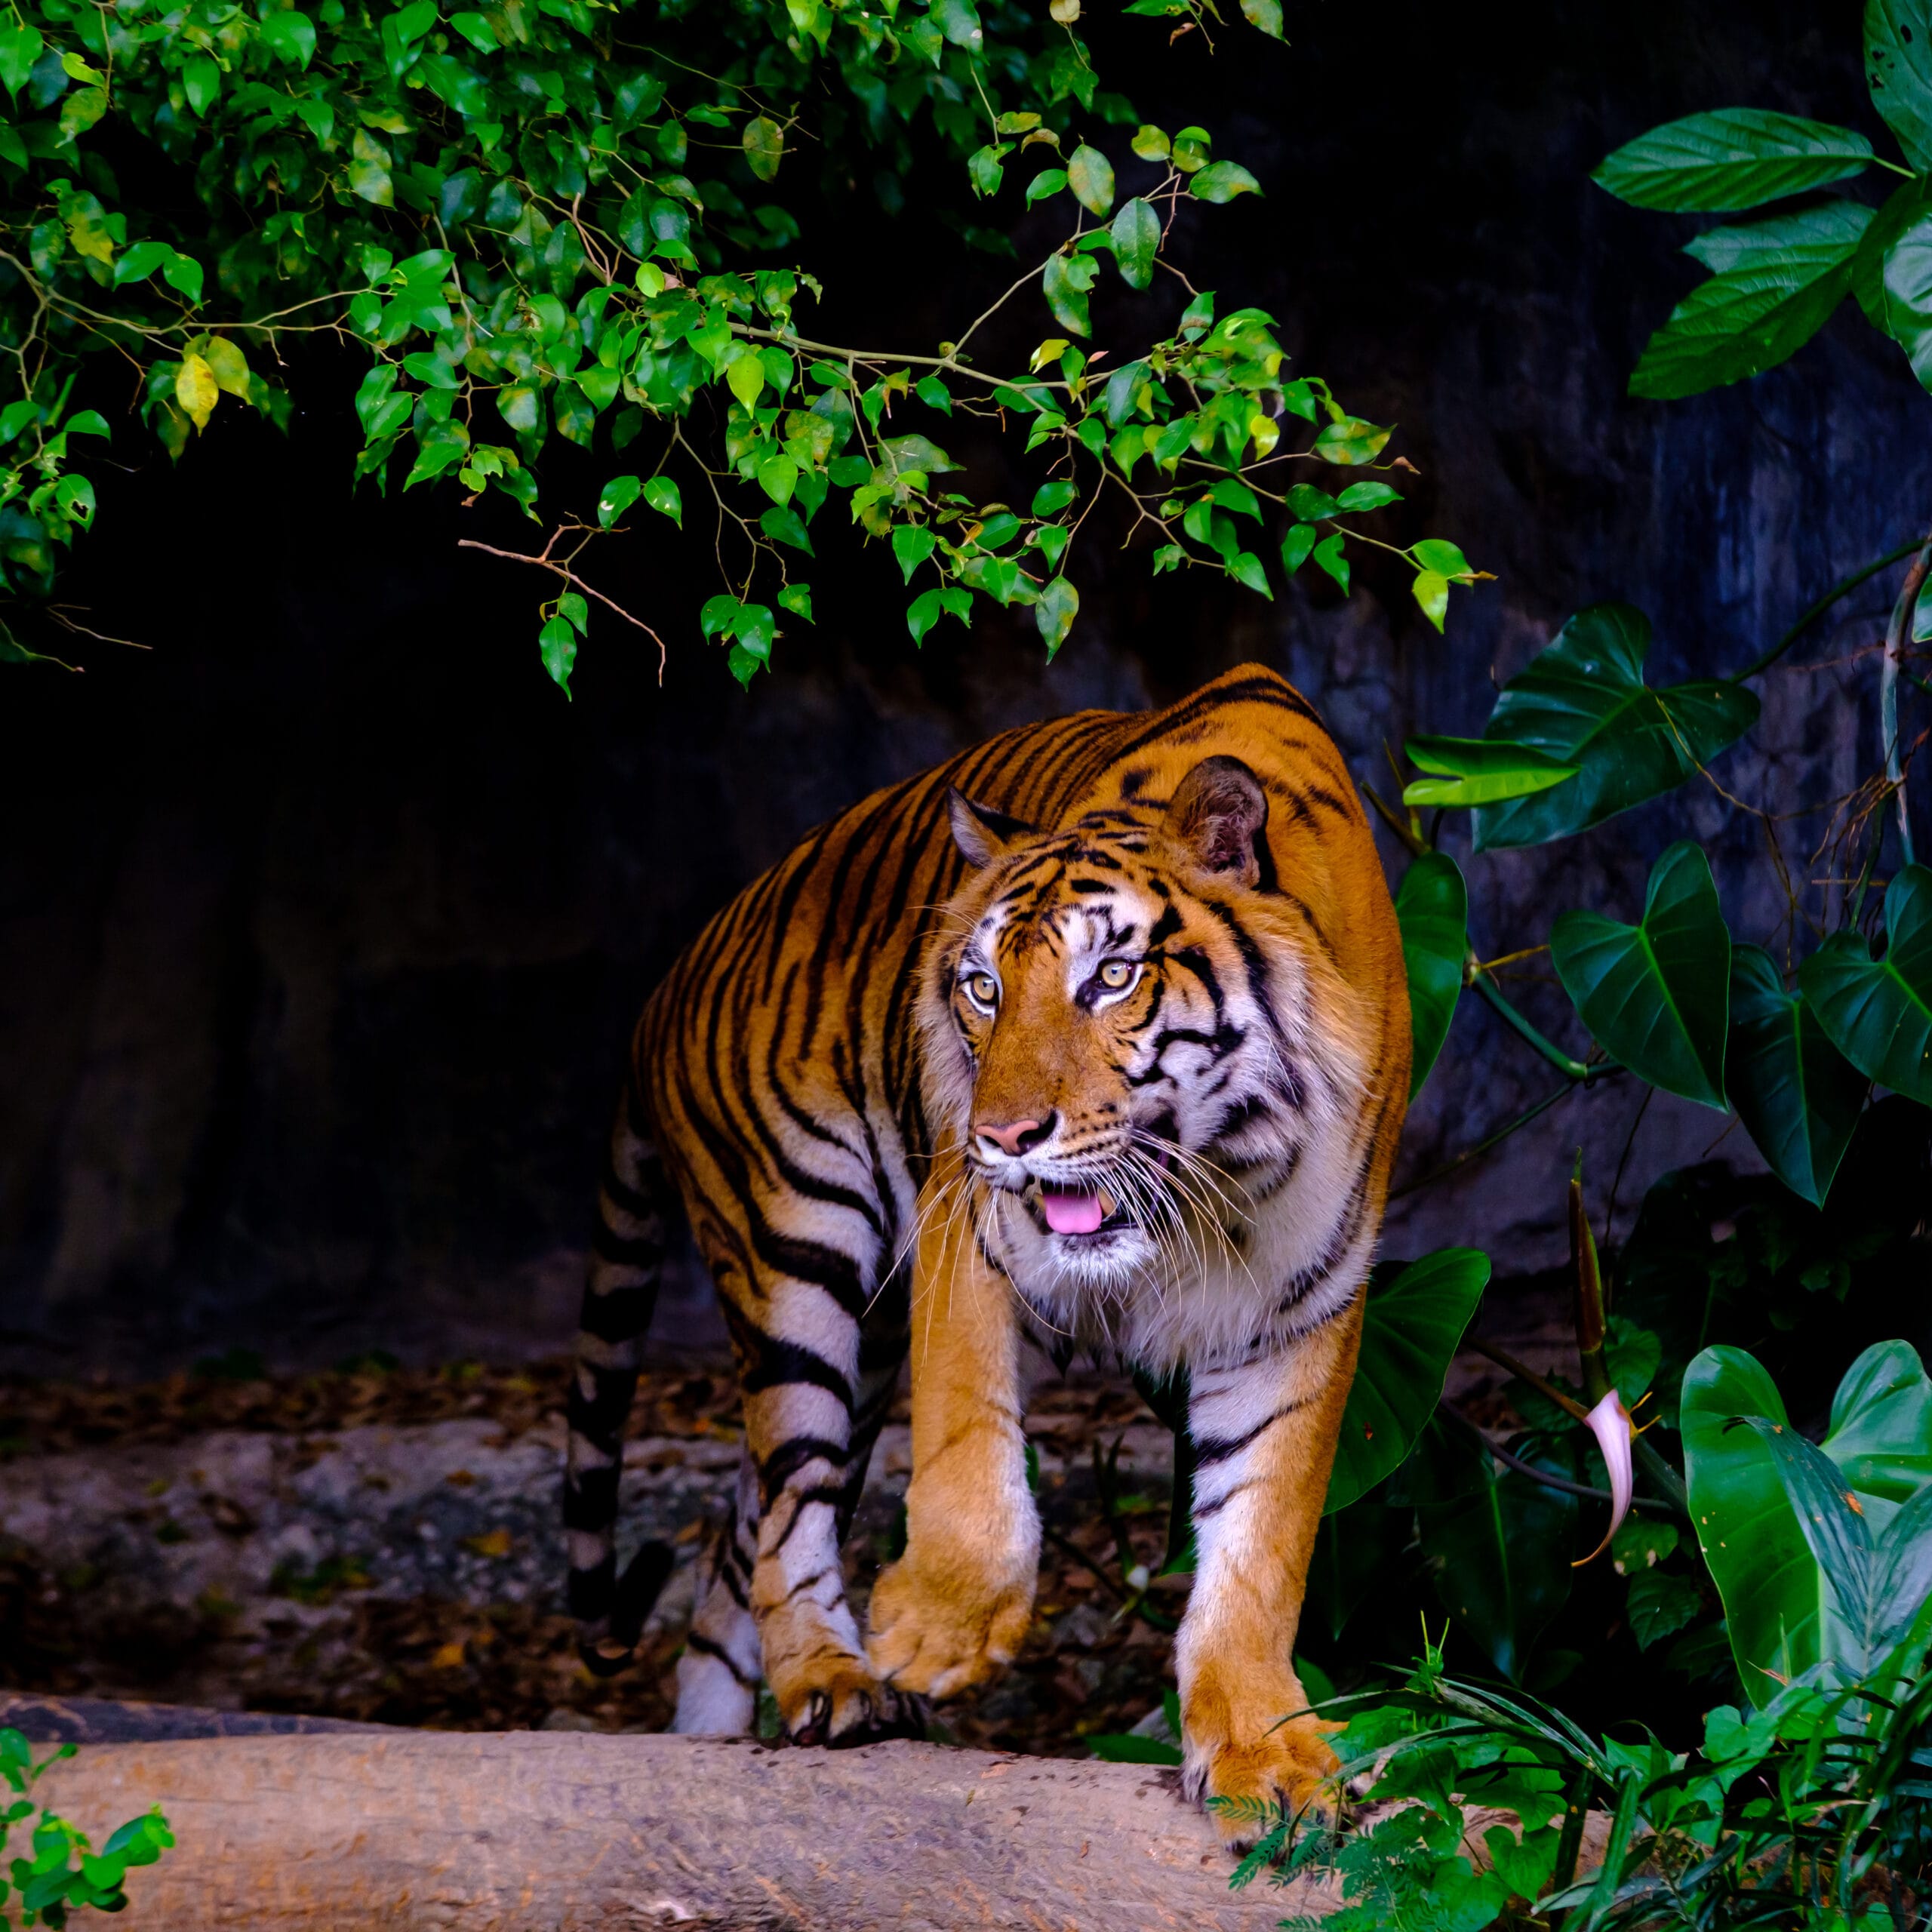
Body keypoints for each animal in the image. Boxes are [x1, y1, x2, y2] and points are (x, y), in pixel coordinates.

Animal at [562, 661, 1411, 1838]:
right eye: (981, 988)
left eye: (1111, 978)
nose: (1004, 1136)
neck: (1213, 1176)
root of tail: (669, 981)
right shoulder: (962, 1219)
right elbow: (968, 1443)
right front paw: (931, 1638)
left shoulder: (1299, 1303)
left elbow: (1261, 1536)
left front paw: (1264, 1753)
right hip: (800, 1264)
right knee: (785, 1511)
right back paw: (834, 1682)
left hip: (862, 1350)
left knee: (739, 1540)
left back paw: (711, 1742)